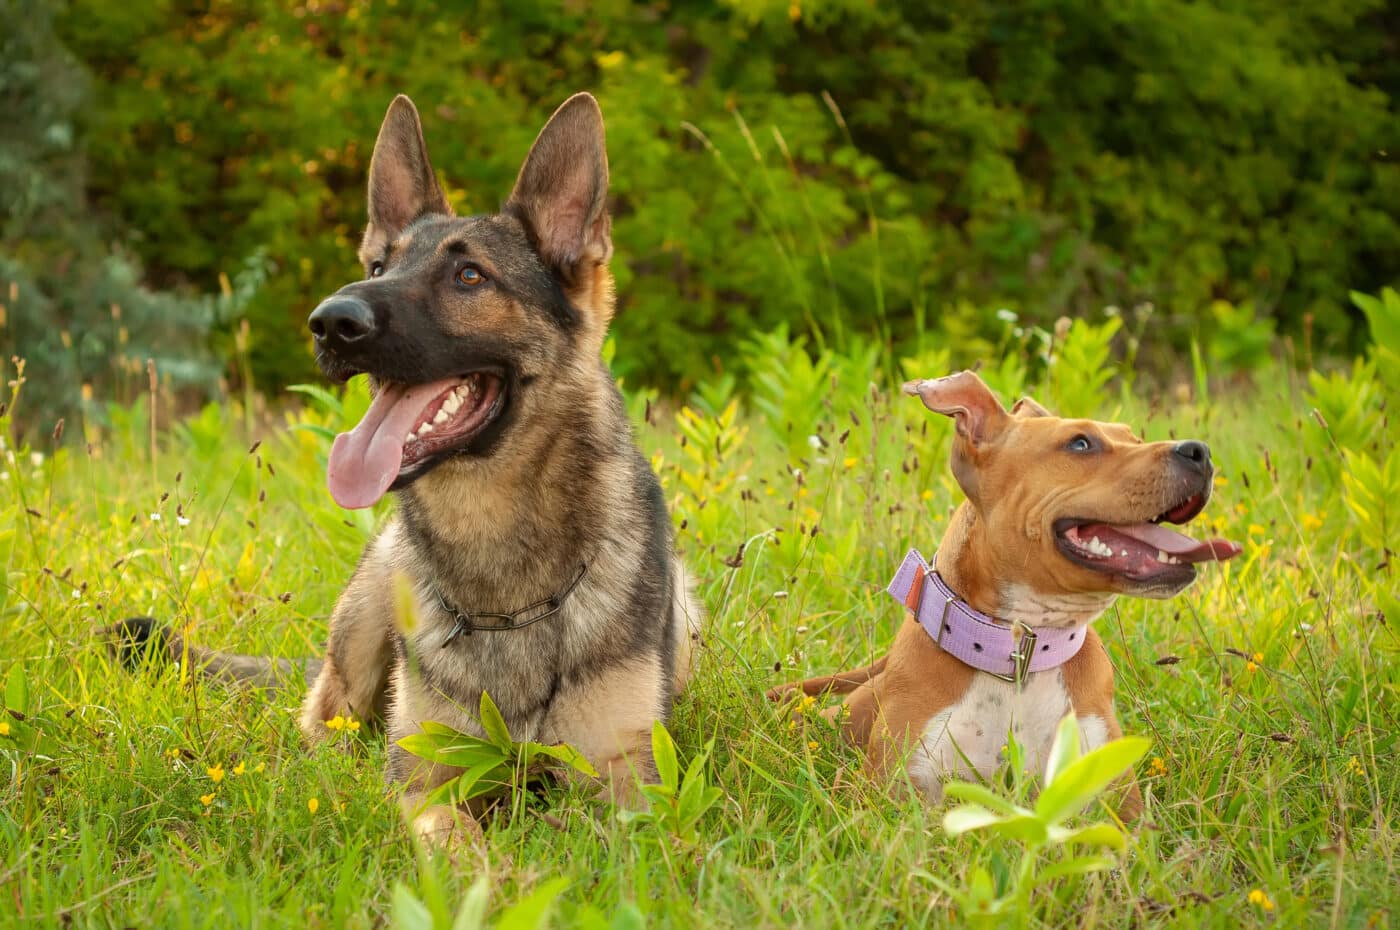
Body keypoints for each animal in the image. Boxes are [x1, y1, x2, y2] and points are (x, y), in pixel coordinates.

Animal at [112, 94, 700, 840]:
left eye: (469, 275)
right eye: (377, 267)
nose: (331, 323)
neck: (503, 595)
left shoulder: (634, 792)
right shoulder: (426, 786)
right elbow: (463, 842)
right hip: (369, 612)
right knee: (322, 722)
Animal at [772, 369, 1243, 812]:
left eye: (1134, 437)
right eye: (1080, 444)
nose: (1199, 451)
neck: (1018, 651)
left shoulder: (1118, 803)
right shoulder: (889, 794)